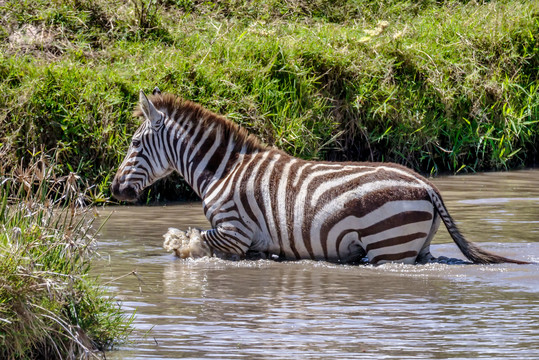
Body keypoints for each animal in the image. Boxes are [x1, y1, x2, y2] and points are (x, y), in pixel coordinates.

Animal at [112, 88, 528, 266]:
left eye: (133, 142)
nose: (115, 189)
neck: (222, 172)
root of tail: (425, 183)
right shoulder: (253, 244)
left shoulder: (234, 231)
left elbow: (187, 243)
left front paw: (176, 244)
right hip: (415, 247)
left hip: (388, 247)